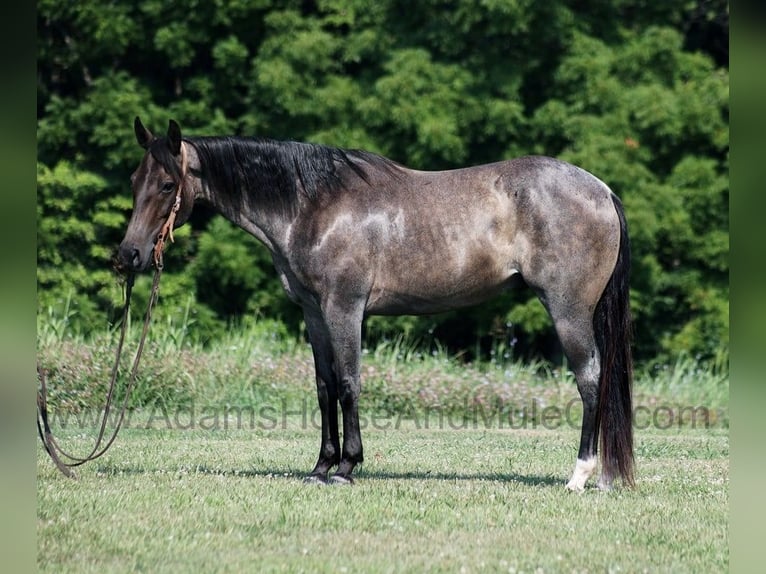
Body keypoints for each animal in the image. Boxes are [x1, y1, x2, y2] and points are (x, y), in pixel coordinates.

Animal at [116, 117, 634, 491]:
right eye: (134, 178)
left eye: (167, 185)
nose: (128, 255)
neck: (313, 206)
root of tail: (603, 190)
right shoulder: (313, 312)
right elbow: (324, 386)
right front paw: (321, 467)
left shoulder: (344, 308)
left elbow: (348, 383)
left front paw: (347, 467)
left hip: (567, 311)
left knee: (590, 379)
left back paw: (580, 476)